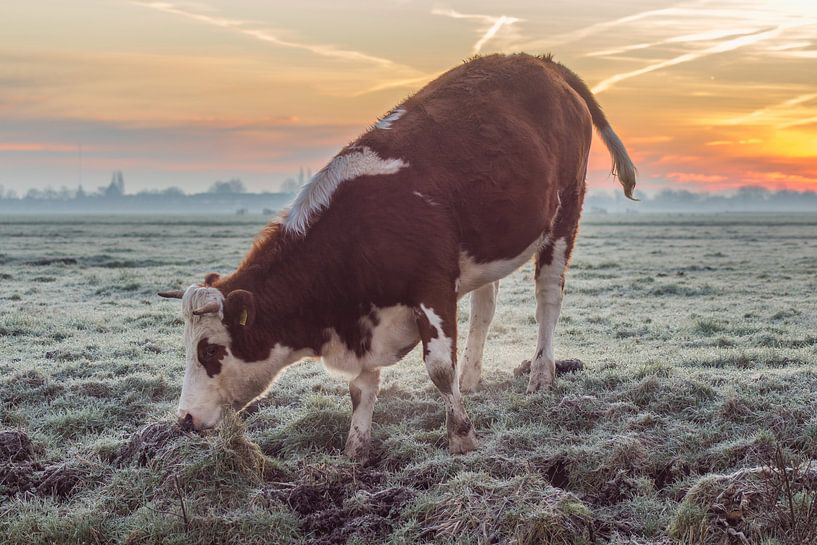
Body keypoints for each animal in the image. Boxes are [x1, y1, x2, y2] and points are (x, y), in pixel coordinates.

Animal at [156, 52, 636, 460]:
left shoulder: (433, 287)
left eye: (210, 351)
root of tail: (542, 63)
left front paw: (461, 435)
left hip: (565, 214)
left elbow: (439, 368)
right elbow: (361, 387)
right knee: (485, 308)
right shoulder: (367, 317)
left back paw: (541, 374)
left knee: (547, 298)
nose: (185, 418)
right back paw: (474, 377)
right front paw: (356, 448)